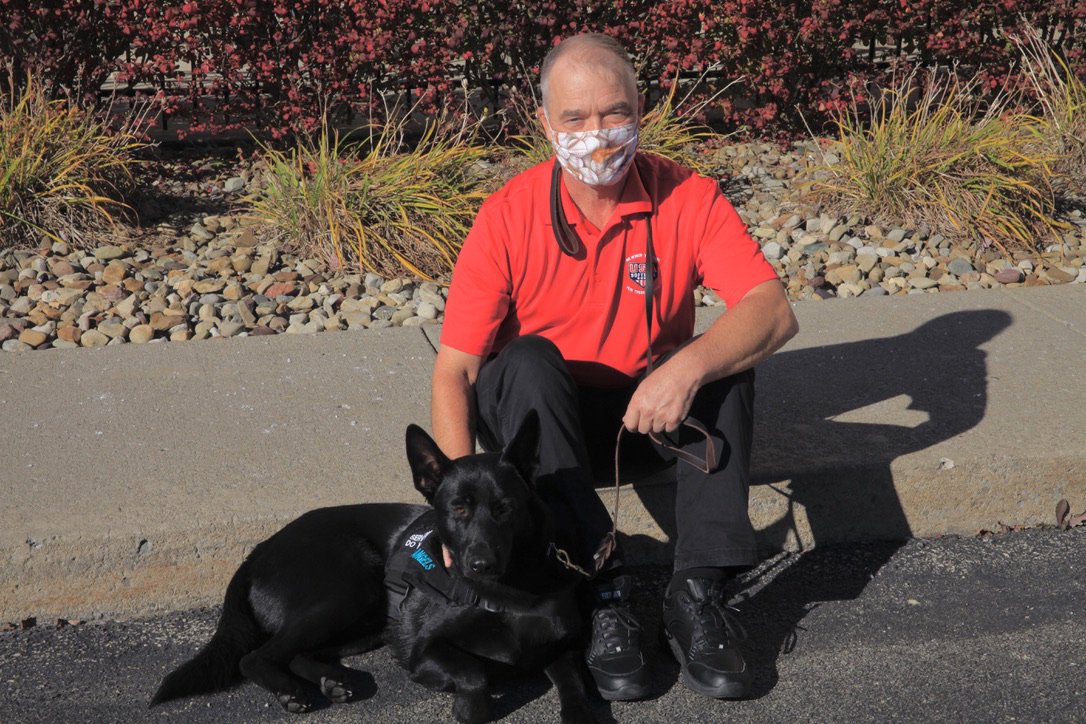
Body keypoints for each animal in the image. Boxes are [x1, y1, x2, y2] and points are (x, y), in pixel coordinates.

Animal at [149, 412, 595, 724]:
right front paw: (471, 707)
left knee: (297, 652)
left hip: (365, 621)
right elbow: (474, 673)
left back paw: (333, 680)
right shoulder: (423, 651)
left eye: (506, 508)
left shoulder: (565, 648)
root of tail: (259, 549)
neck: (510, 594)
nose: (480, 564)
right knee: (256, 656)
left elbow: (576, 685)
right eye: (458, 509)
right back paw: (291, 691)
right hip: (348, 590)